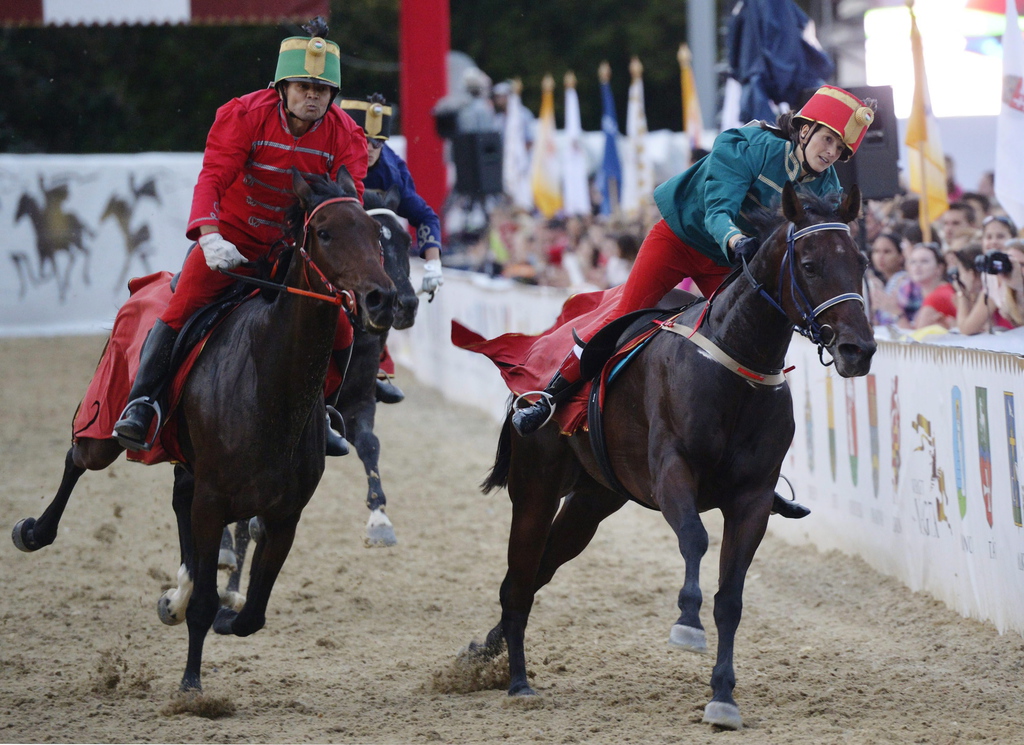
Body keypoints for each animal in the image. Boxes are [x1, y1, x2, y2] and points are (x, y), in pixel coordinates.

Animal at [12, 168, 395, 691]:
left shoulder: (285, 514)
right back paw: (35, 531)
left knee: (178, 500)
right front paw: (191, 684)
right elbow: (207, 602)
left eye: (376, 233)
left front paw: (223, 616)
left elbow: (253, 612)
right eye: (325, 232)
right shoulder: (214, 502)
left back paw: (177, 591)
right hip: (105, 425)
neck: (269, 381)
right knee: (77, 458)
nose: (383, 299)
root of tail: (147, 282)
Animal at [462, 183, 872, 728]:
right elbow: (695, 538)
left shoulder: (753, 498)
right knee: (518, 576)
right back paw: (517, 680)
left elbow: (731, 597)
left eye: (861, 262)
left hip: (593, 499)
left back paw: (486, 652)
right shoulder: (673, 471)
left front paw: (723, 696)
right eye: (808, 263)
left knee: (537, 572)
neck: (737, 363)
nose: (858, 349)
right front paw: (687, 623)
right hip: (536, 485)